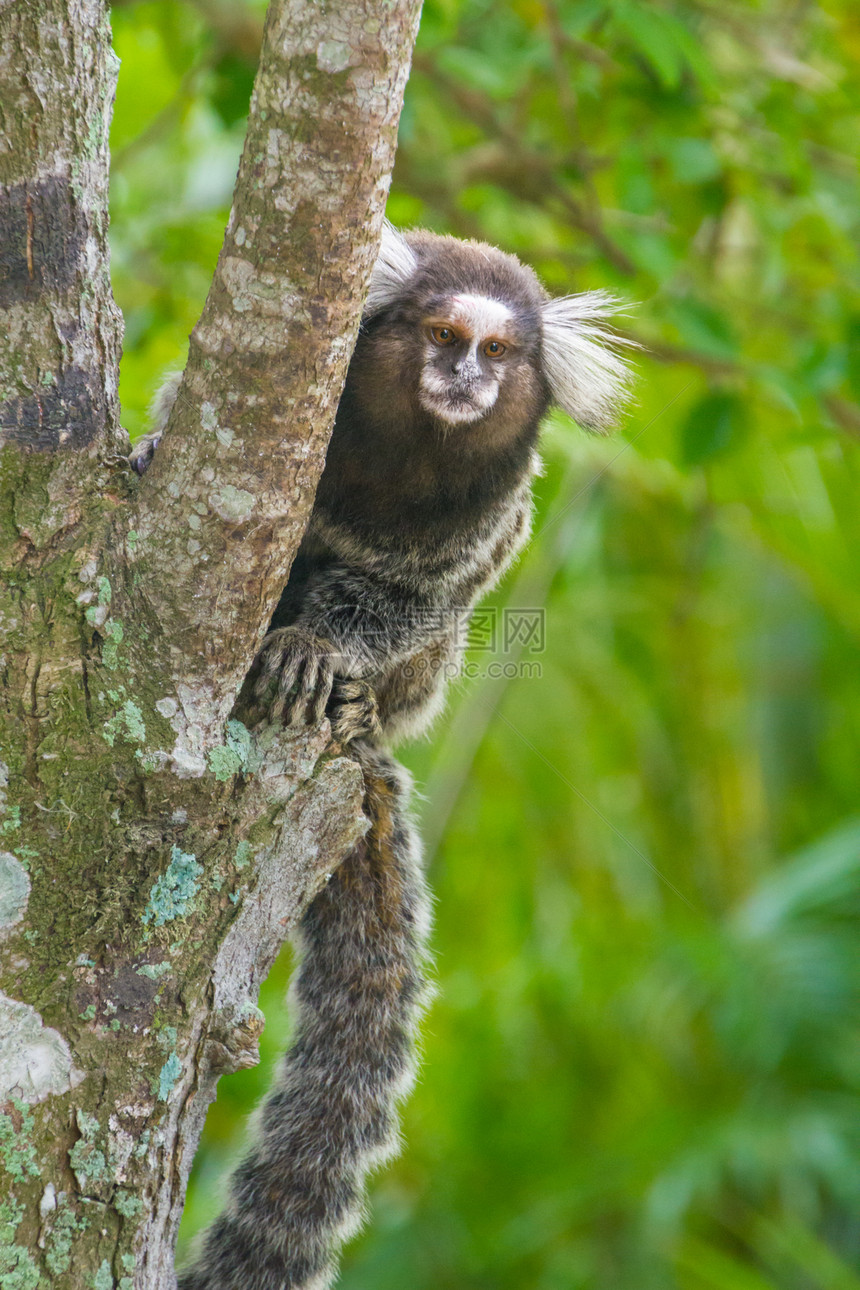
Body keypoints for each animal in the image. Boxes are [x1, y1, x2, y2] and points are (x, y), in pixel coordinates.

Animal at [134, 221, 631, 1290]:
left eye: (499, 351)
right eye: (441, 333)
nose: (463, 375)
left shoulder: (488, 517)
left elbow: (423, 595)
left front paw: (321, 652)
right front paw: (152, 451)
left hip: (411, 696)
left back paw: (350, 702)